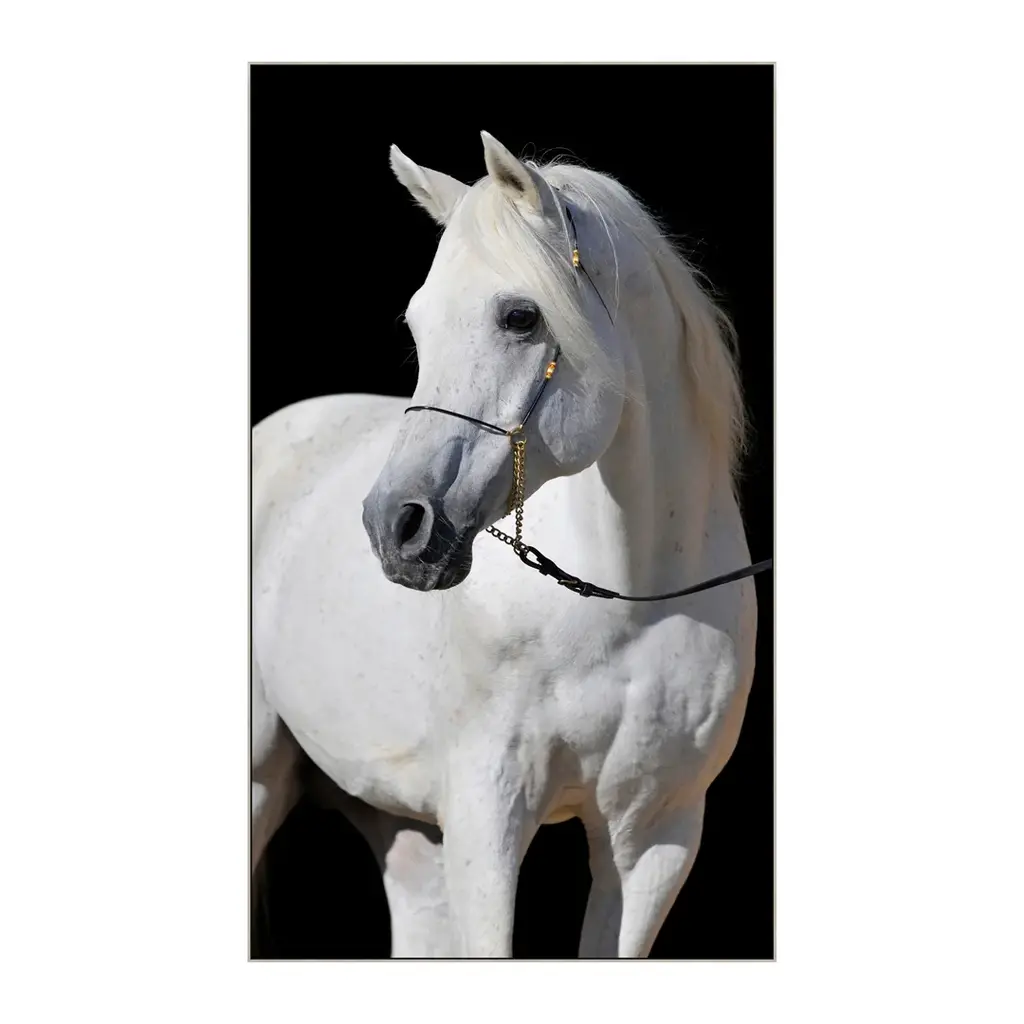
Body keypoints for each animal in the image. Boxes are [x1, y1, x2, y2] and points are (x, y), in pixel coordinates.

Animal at [251, 131, 761, 958]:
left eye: (520, 317)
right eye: (417, 325)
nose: (396, 526)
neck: (626, 603)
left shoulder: (655, 839)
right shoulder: (485, 821)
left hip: (404, 832)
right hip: (263, 783)